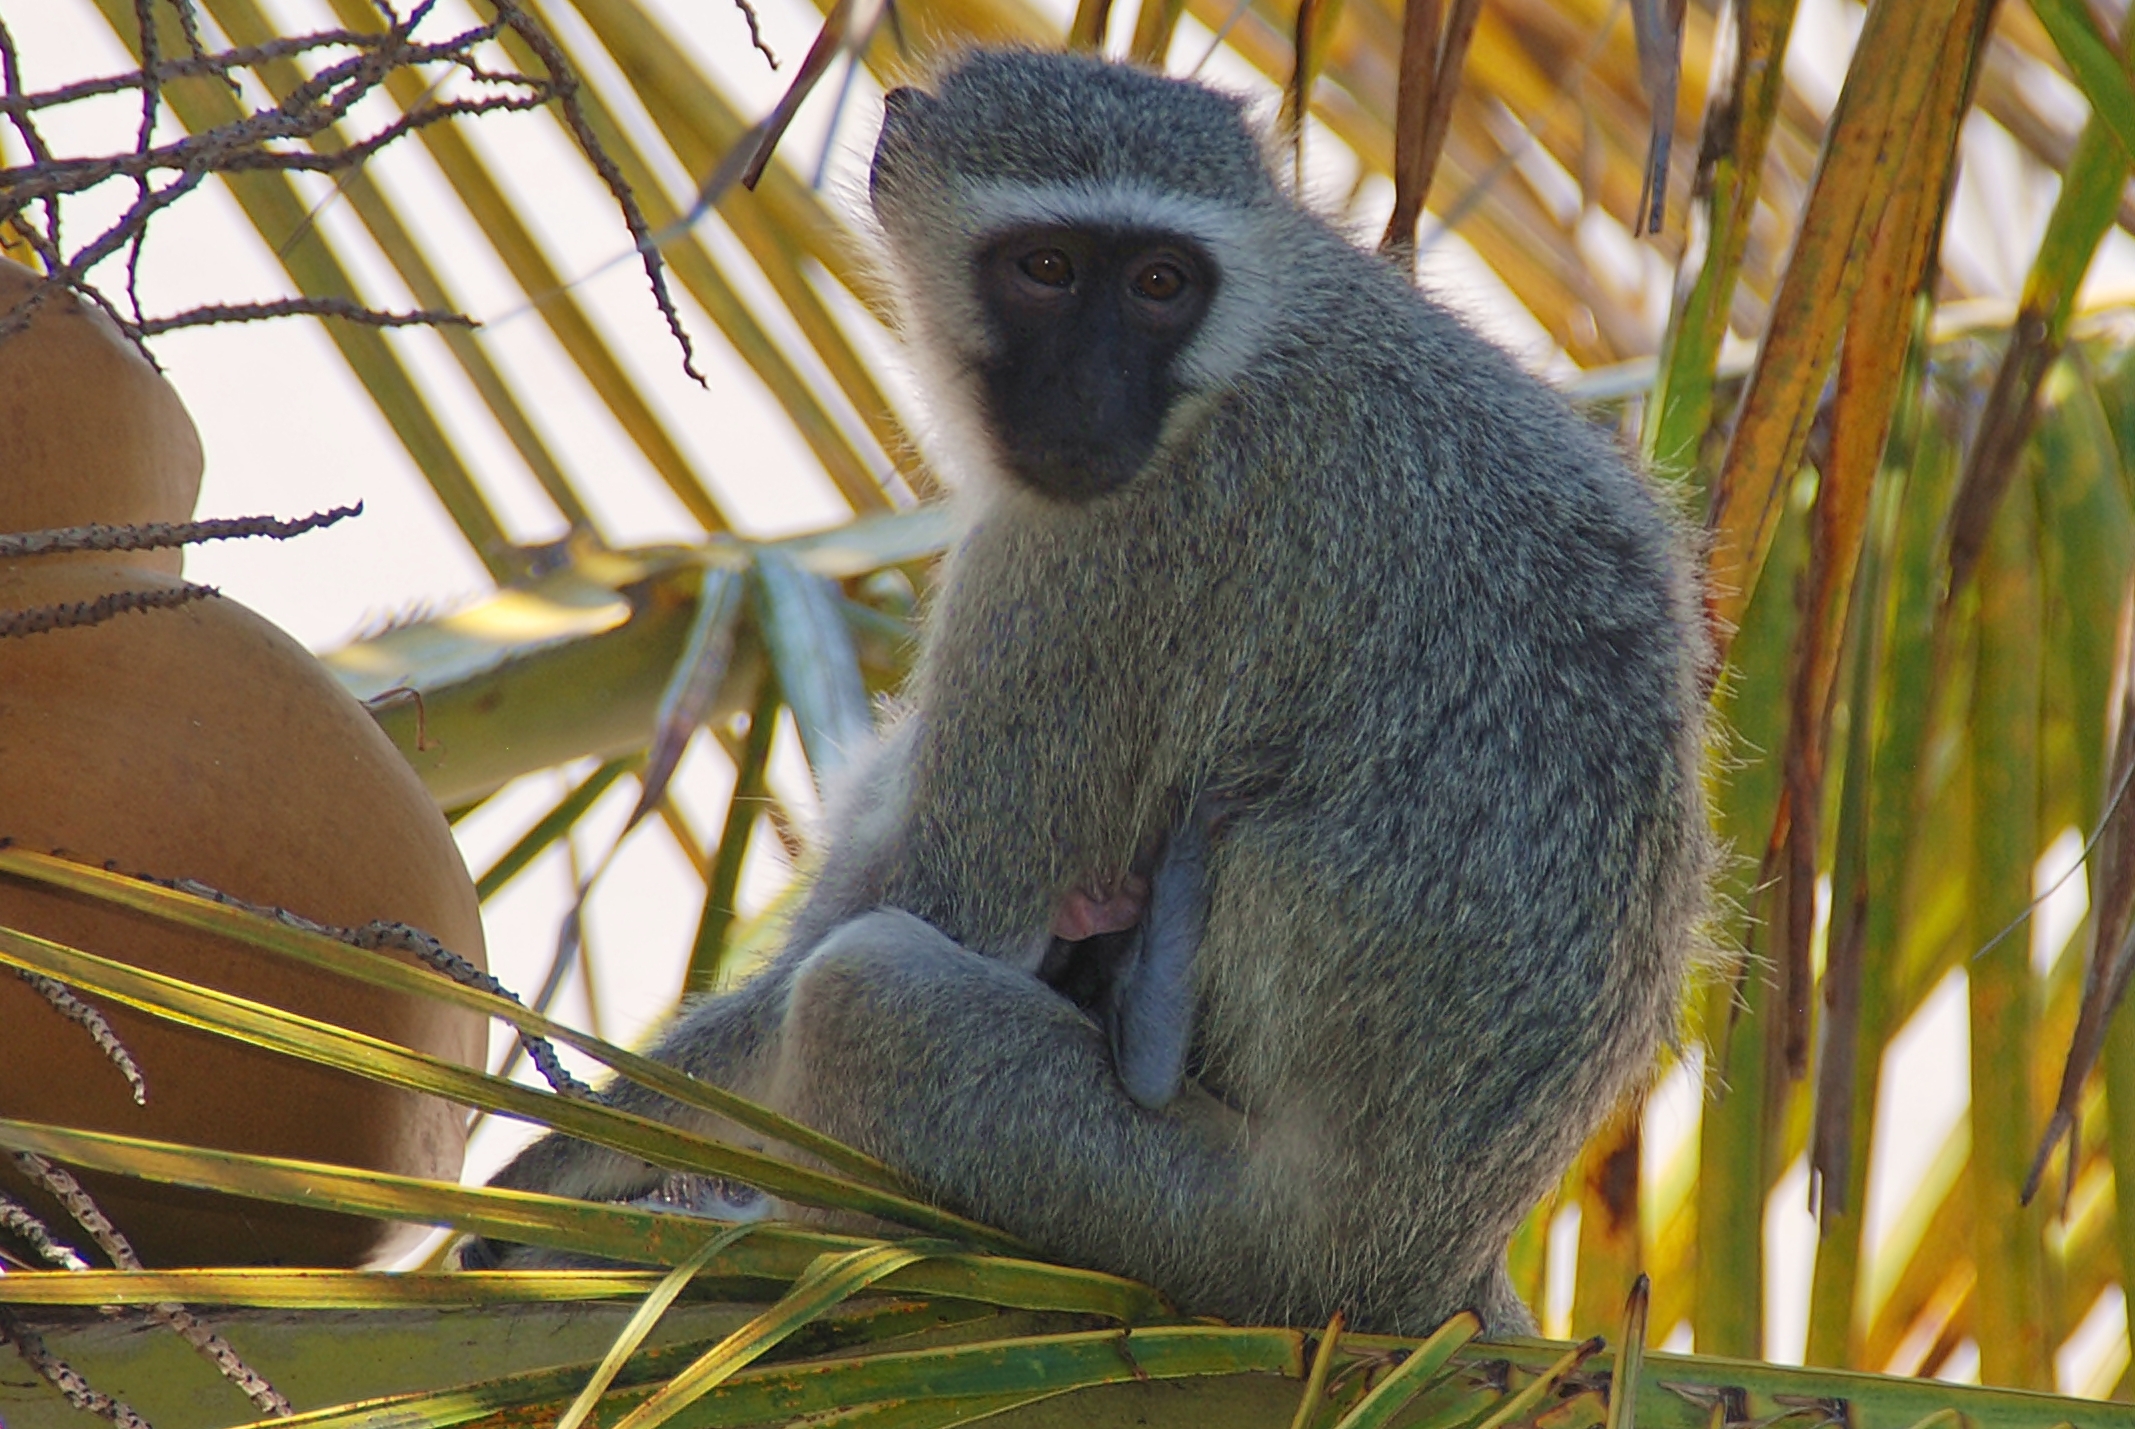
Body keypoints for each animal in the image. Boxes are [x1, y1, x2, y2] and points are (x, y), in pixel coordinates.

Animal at [477, 49, 1713, 1336]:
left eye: (1160, 283)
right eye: (1047, 269)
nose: (1086, 398)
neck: (1252, 341)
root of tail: (1420, 1270)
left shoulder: (1095, 555)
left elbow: (949, 909)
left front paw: (544, 1176)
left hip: (1214, 1232)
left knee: (862, 995)